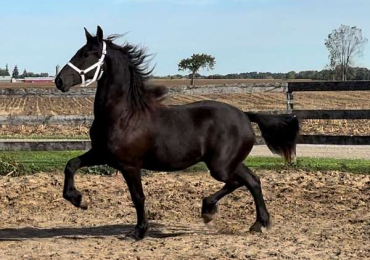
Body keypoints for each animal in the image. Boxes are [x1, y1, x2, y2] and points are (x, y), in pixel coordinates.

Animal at [55, 25, 300, 240]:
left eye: (88, 54)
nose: (59, 81)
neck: (124, 115)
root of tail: (245, 115)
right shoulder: (102, 154)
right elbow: (71, 165)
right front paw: (79, 200)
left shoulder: (129, 165)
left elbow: (138, 197)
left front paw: (138, 232)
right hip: (227, 163)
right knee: (252, 180)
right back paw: (254, 222)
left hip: (220, 166)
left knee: (240, 182)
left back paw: (213, 212)